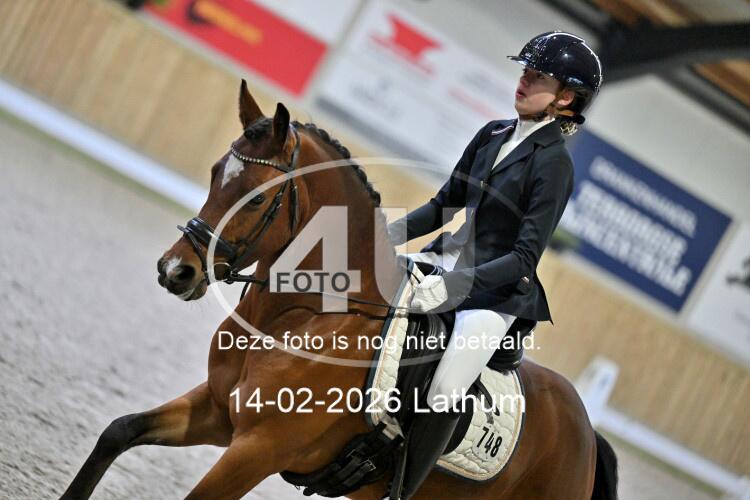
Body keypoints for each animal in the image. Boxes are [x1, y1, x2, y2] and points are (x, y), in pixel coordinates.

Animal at [60, 80, 618, 499]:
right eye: (217, 171)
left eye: (256, 196)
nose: (175, 270)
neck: (299, 318)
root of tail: (588, 436)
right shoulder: (217, 412)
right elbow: (119, 431)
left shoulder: (259, 448)